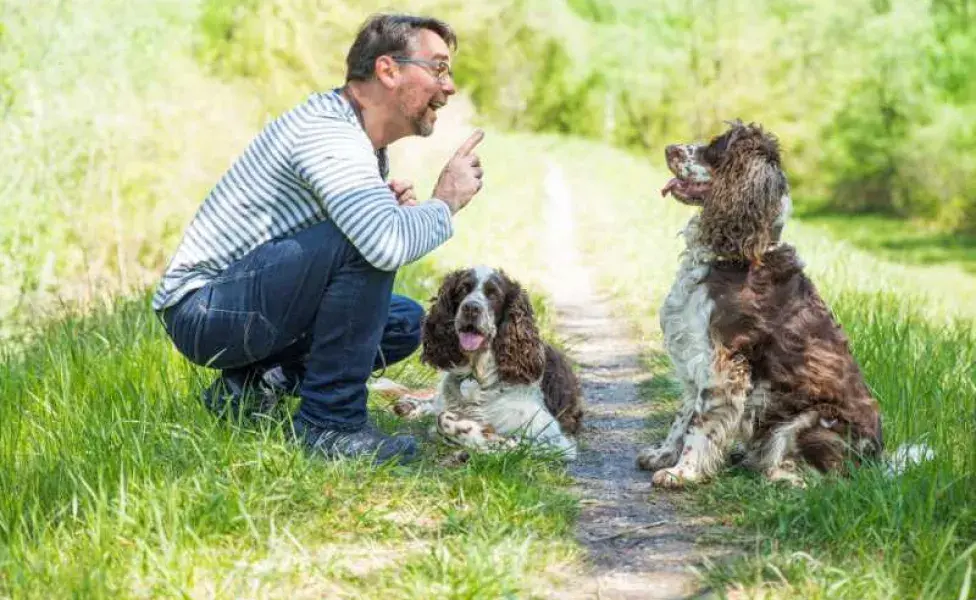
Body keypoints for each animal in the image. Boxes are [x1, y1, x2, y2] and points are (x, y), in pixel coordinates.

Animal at [392, 266, 584, 460]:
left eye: (493, 295)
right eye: (463, 289)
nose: (471, 308)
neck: (477, 375)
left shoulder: (553, 440)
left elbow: (446, 420)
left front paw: (474, 433)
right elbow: (441, 416)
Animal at [636, 120, 888, 488]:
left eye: (716, 148)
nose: (669, 148)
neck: (738, 256)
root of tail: (879, 461)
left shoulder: (723, 362)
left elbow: (699, 422)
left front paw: (683, 472)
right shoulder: (695, 353)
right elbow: (681, 415)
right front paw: (663, 454)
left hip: (810, 420)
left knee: (829, 478)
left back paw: (779, 474)